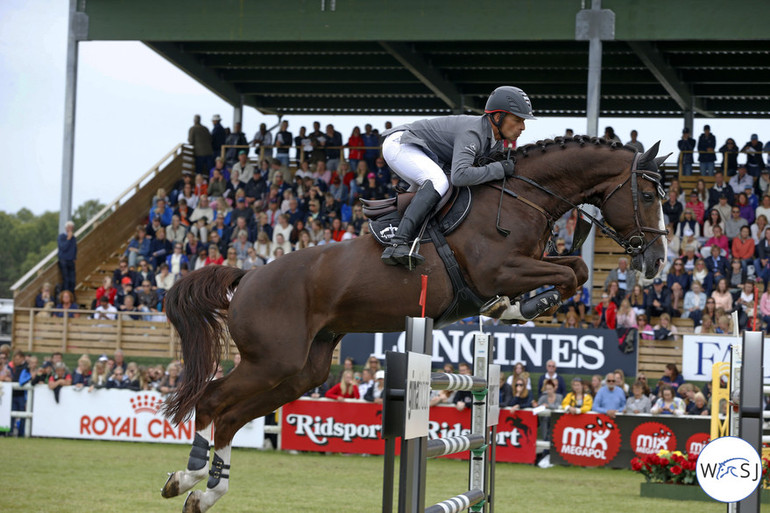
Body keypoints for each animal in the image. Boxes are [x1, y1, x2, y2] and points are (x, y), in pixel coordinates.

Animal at [160, 137, 664, 512]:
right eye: (647, 195)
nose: (656, 262)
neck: (523, 196)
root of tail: (247, 275)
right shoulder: (501, 270)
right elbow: (570, 273)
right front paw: (519, 306)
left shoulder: (527, 264)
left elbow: (575, 270)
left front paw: (516, 307)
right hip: (272, 362)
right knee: (212, 401)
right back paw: (187, 476)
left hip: (302, 371)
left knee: (231, 415)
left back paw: (205, 493)